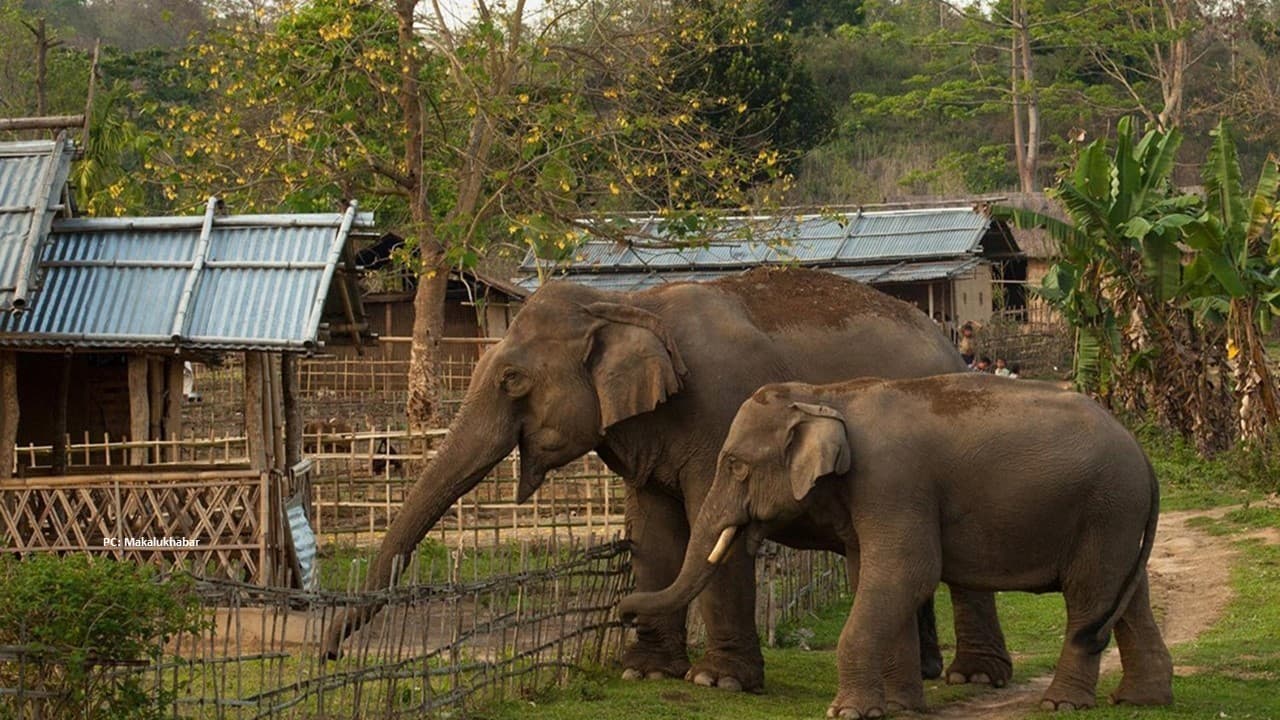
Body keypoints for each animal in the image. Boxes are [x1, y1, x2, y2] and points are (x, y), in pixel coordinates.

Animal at [323, 267, 1013, 691]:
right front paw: (648, 673)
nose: (329, 653)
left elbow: (715, 530)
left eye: (512, 381)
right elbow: (653, 531)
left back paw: (974, 679)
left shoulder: (724, 409)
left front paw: (719, 681)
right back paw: (928, 672)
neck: (631, 307)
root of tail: (952, 344)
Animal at [618, 374, 1174, 717]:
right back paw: (1140, 701)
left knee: (1088, 597)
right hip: (1119, 517)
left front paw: (847, 711)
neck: (827, 396)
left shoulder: (892, 481)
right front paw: (900, 708)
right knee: (1126, 598)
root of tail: (1144, 454)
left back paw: (1062, 705)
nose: (623, 610)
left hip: (1105, 508)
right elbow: (874, 576)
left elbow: (907, 572)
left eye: (734, 465)